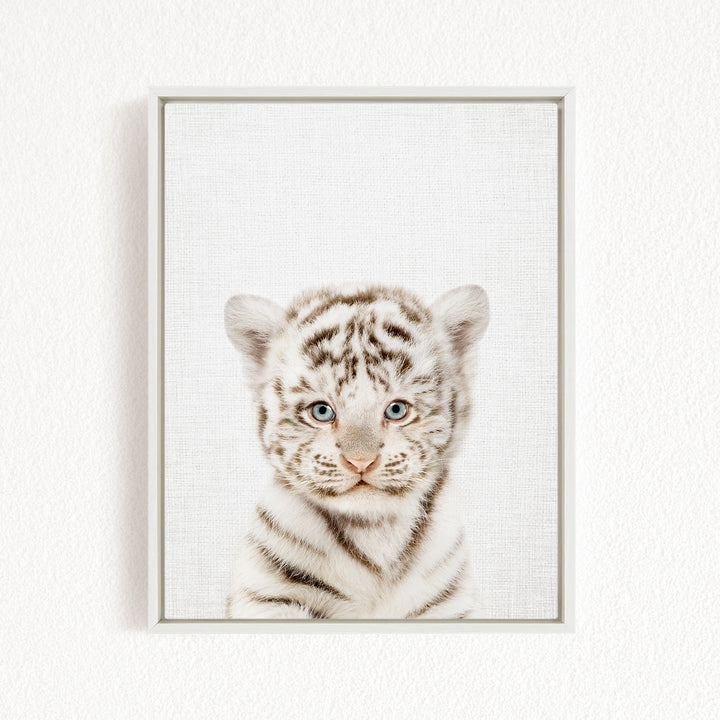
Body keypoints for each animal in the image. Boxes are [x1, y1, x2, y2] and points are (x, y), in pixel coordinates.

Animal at [223, 284, 489, 620]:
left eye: (397, 410)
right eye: (321, 411)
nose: (360, 461)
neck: (375, 534)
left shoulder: (451, 604)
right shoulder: (269, 596)